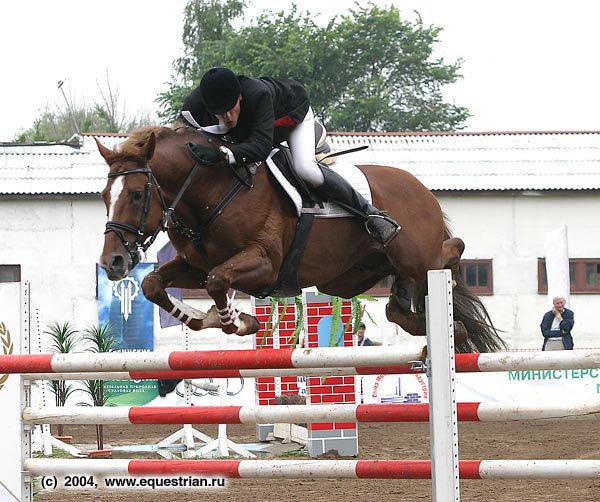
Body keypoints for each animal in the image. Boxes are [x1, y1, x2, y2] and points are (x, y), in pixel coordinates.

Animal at [96, 126, 504, 352]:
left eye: (137, 194)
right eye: (104, 196)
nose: (112, 262)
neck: (213, 191)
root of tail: (421, 188)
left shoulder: (263, 263)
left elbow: (217, 281)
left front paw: (237, 322)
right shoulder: (195, 265)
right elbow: (153, 284)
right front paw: (205, 318)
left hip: (415, 253)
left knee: (452, 250)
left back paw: (449, 302)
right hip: (351, 276)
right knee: (396, 308)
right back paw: (431, 319)